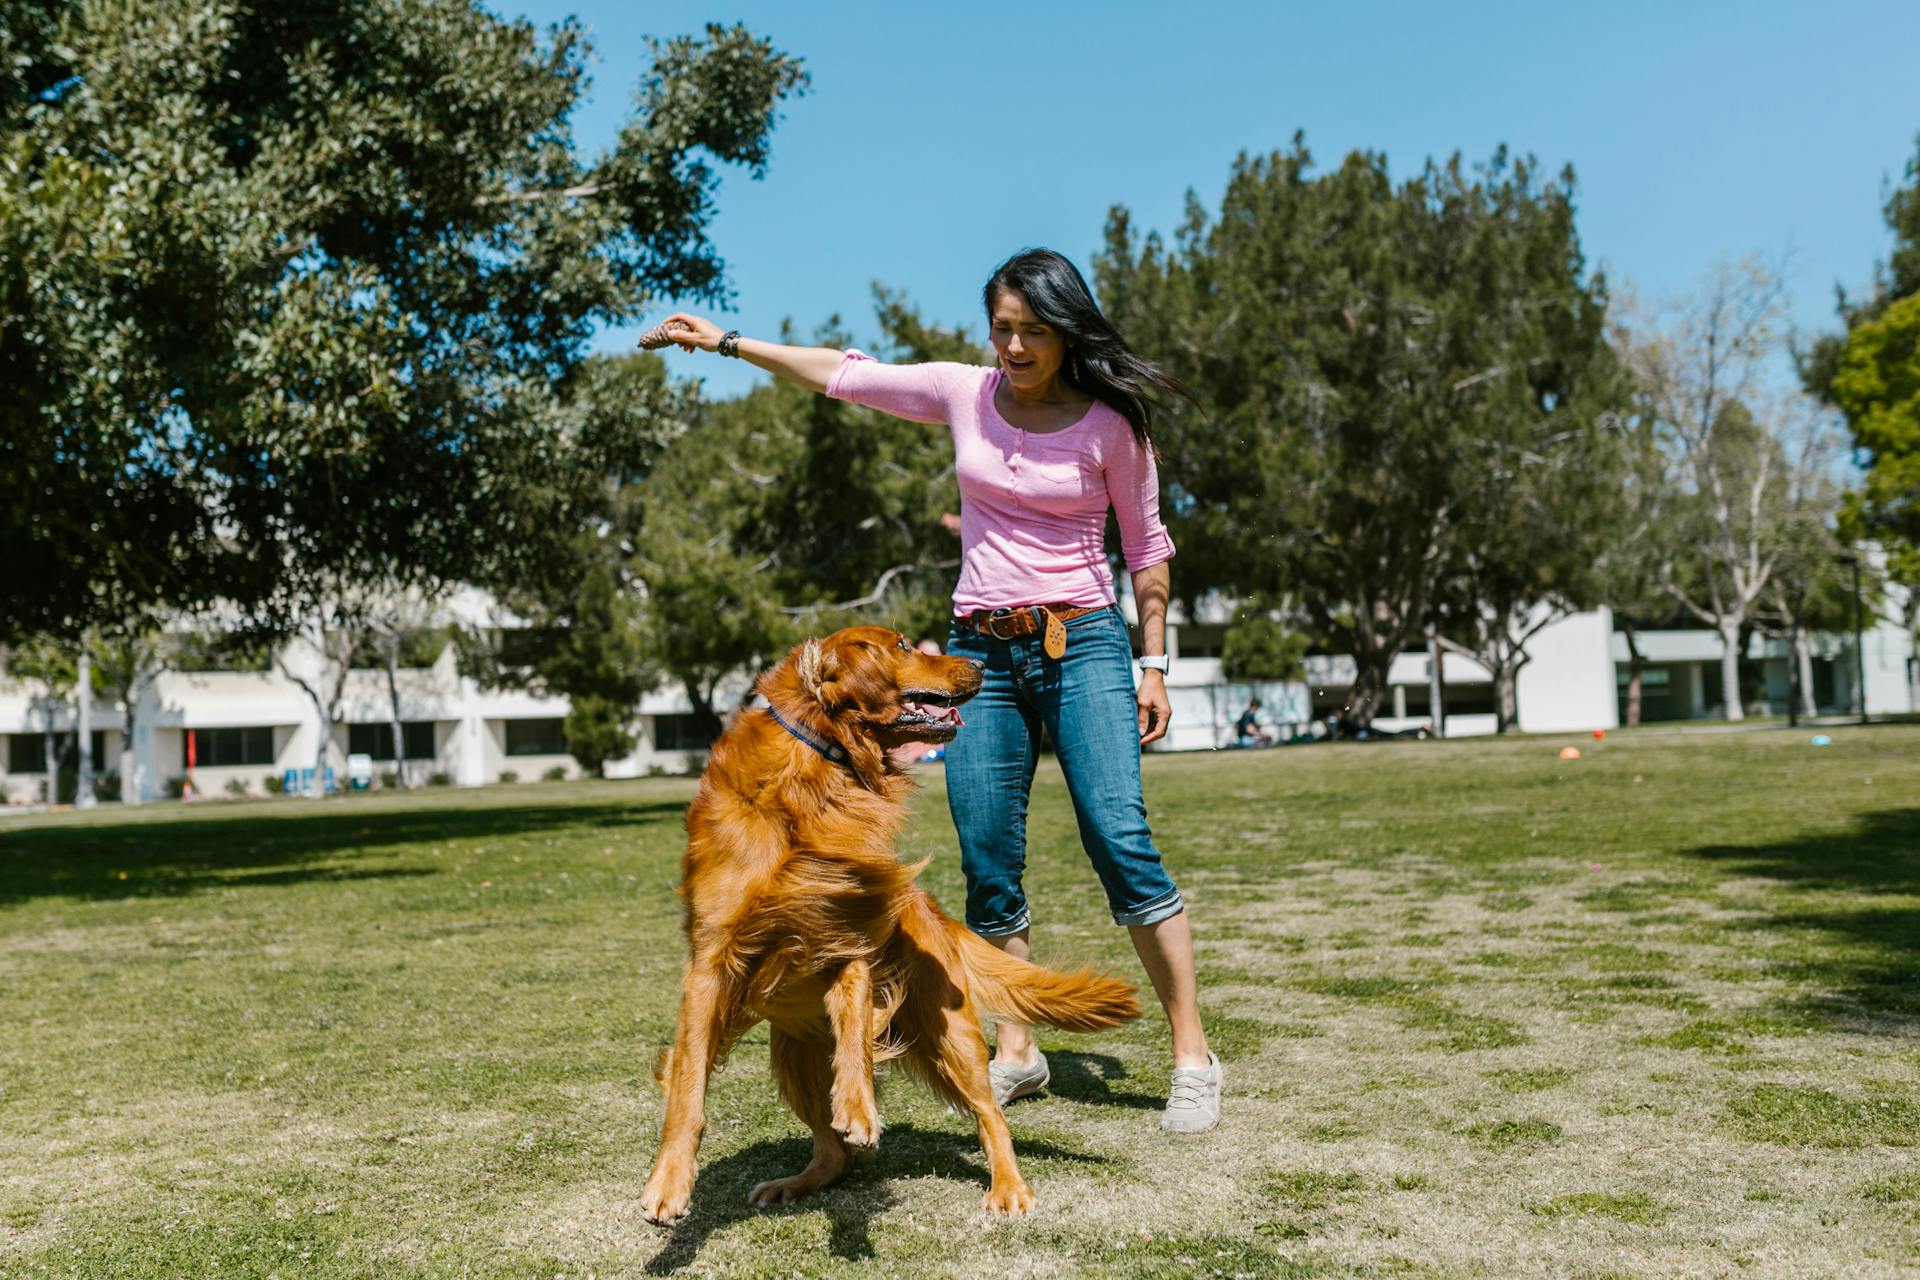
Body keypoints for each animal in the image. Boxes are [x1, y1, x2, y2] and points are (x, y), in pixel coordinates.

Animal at [641, 625, 1136, 1228]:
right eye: (901, 646)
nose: (978, 664)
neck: (819, 771)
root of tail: (929, 907)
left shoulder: (849, 937)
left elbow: (855, 1027)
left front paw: (859, 1105)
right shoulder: (709, 964)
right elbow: (688, 1083)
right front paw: (669, 1180)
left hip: (951, 1033)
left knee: (990, 1115)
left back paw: (1008, 1186)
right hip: (792, 1053)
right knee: (833, 1153)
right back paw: (796, 1182)